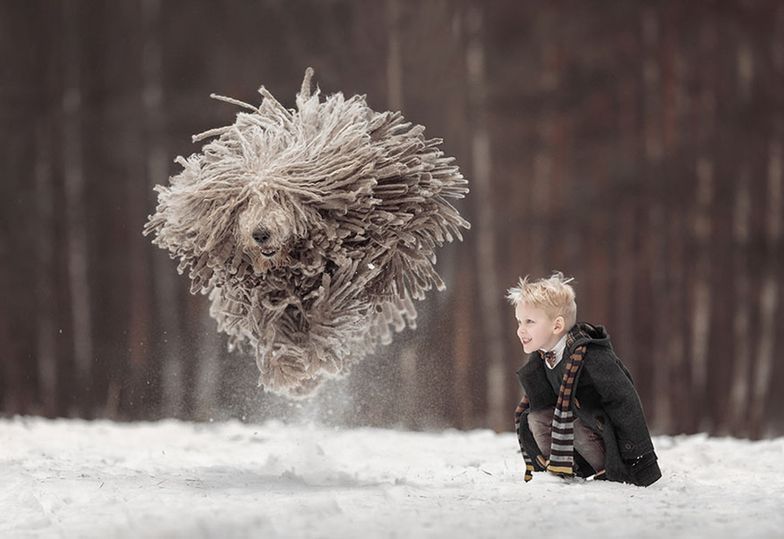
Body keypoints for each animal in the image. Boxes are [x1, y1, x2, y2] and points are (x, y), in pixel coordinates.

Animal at [144, 68, 468, 396]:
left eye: (280, 197)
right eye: (244, 202)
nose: (260, 234)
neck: (294, 263)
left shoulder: (353, 266)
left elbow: (328, 311)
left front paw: (309, 359)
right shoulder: (260, 292)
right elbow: (271, 326)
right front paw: (288, 369)